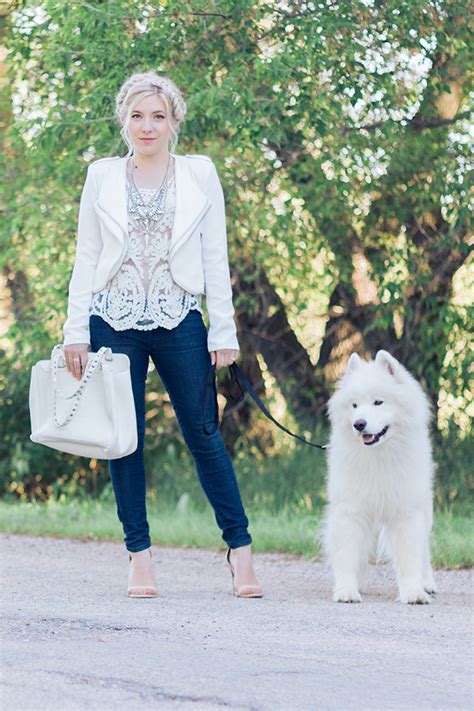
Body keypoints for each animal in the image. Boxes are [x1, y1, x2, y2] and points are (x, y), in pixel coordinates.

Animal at [322, 348, 436, 604]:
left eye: (378, 402)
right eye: (354, 405)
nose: (359, 424)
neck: (378, 456)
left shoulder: (406, 512)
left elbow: (410, 557)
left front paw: (414, 592)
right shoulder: (351, 511)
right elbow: (348, 554)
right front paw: (346, 590)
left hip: (424, 508)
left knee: (424, 549)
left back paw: (427, 583)